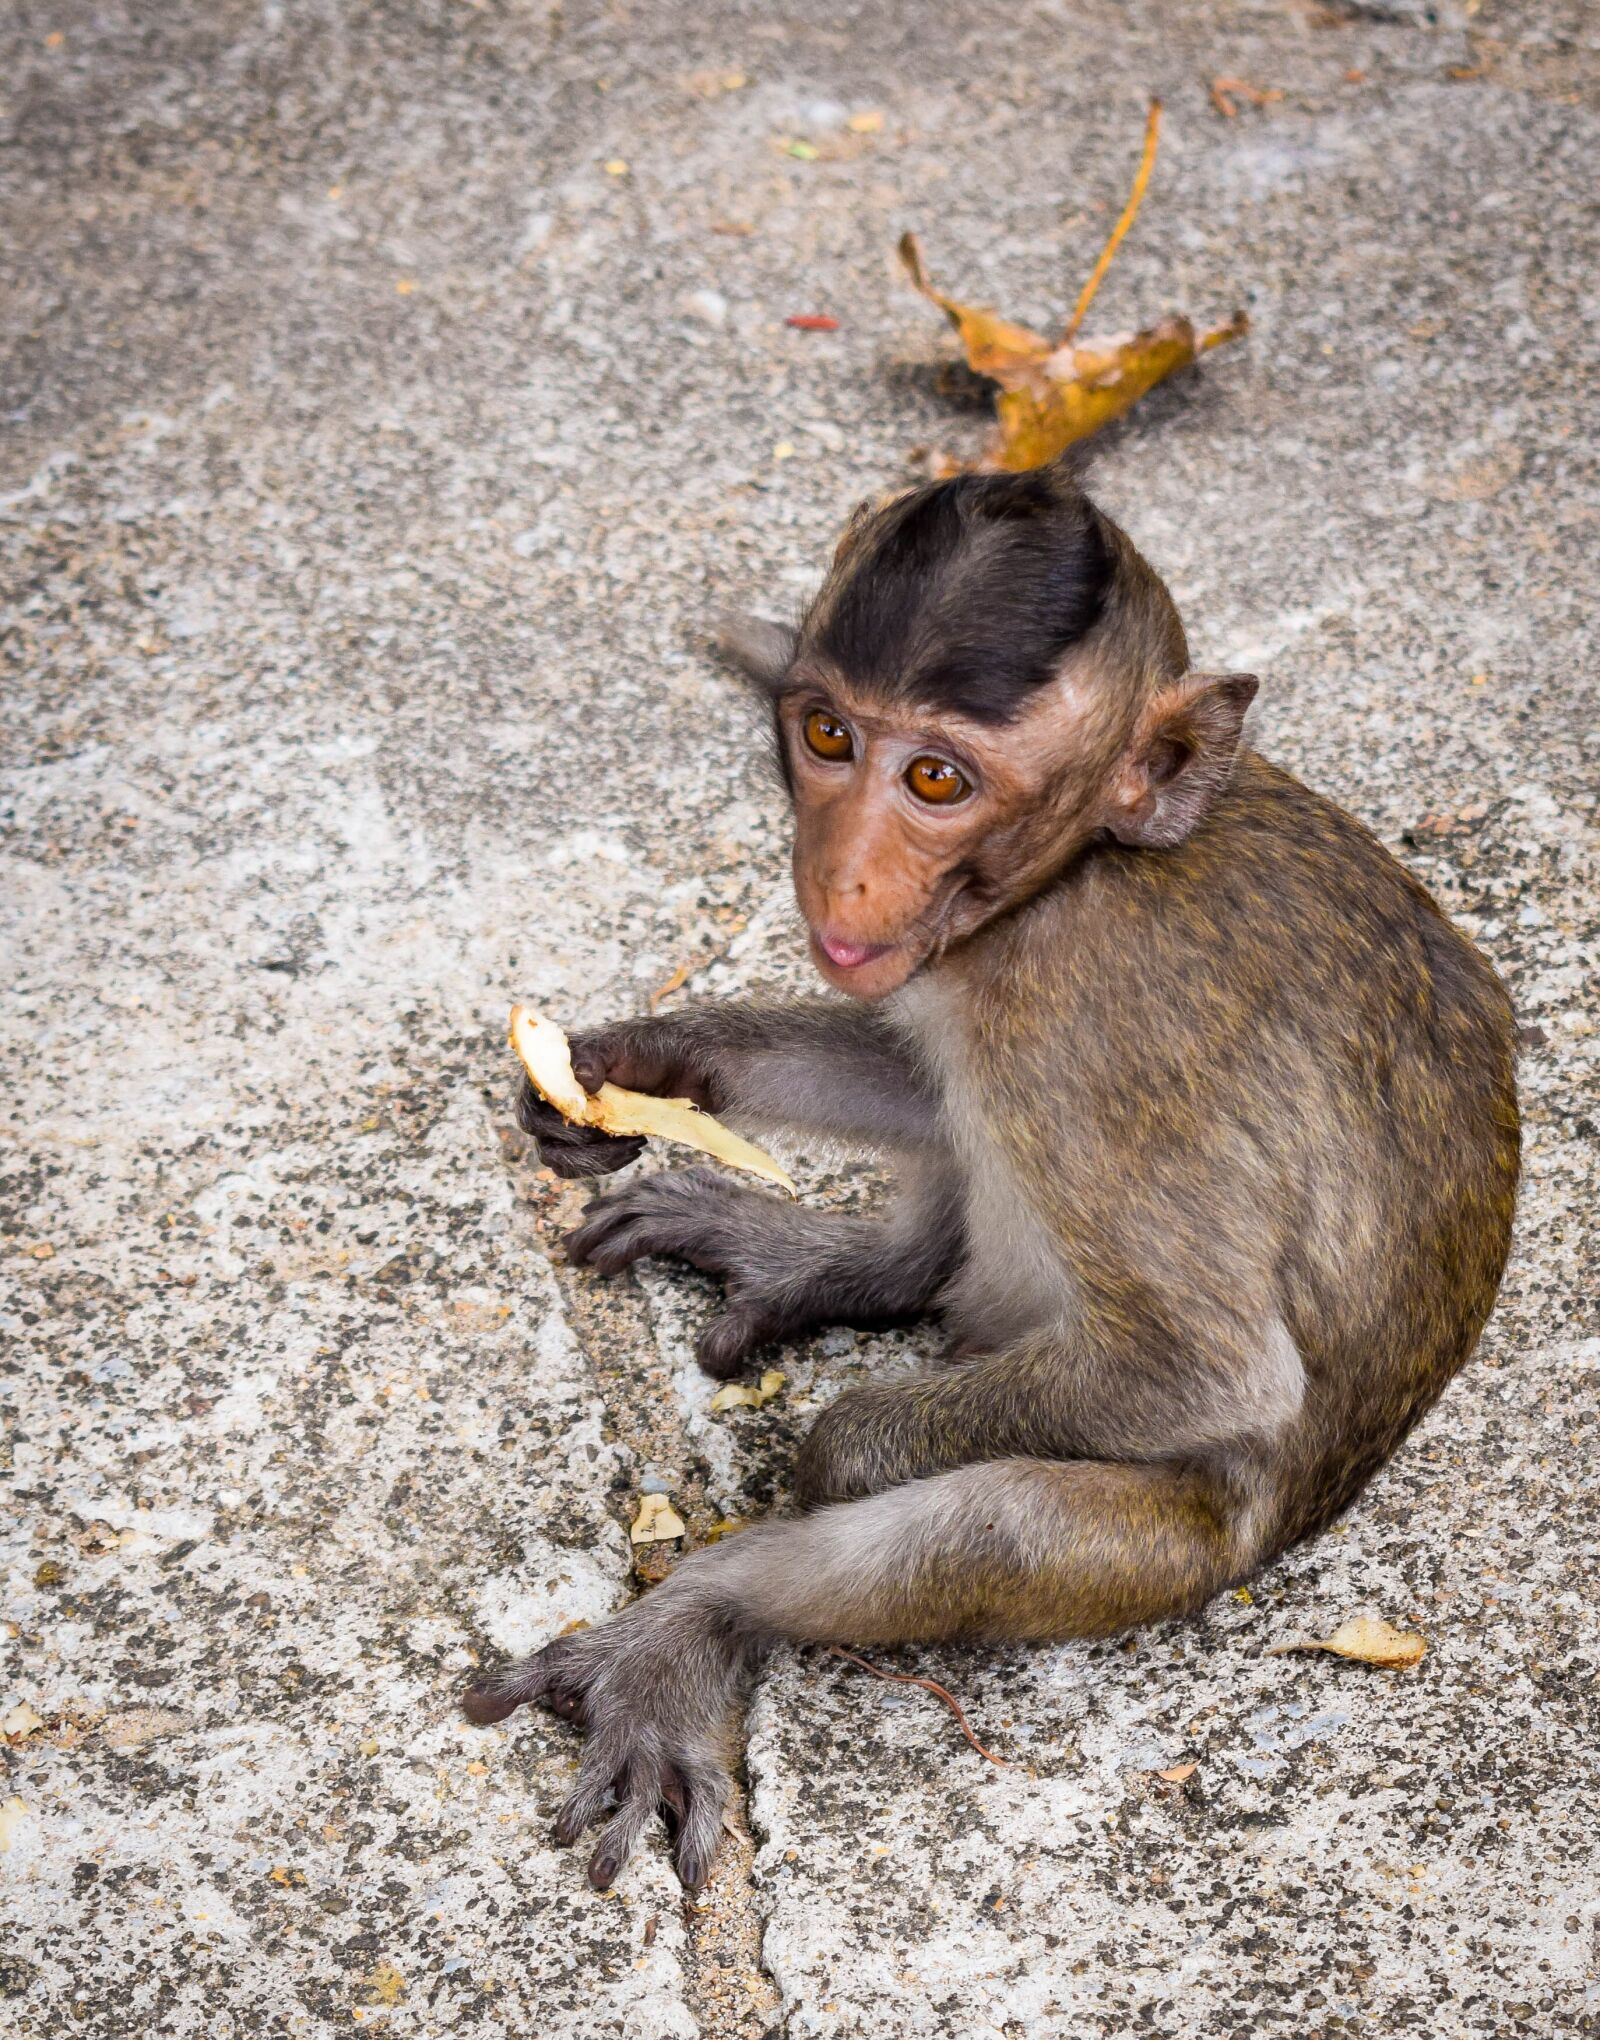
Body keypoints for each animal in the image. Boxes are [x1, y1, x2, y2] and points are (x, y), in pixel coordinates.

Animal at [464, 463, 1520, 1897]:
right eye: (828, 737)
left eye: (935, 777)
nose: (842, 871)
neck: (1074, 871)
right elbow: (919, 1071)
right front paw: (642, 1062)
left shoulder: (1082, 1019)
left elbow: (1208, 1371)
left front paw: (828, 1454)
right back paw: (853, 1264)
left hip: (1172, 1548)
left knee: (998, 1526)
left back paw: (692, 1626)